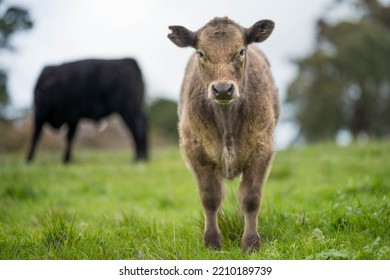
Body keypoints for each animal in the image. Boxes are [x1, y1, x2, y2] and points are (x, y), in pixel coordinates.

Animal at [168, 16, 280, 250]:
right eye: (201, 53)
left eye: (241, 51)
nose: (222, 89)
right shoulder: (196, 152)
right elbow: (210, 198)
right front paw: (212, 242)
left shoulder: (262, 149)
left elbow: (250, 198)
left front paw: (251, 243)